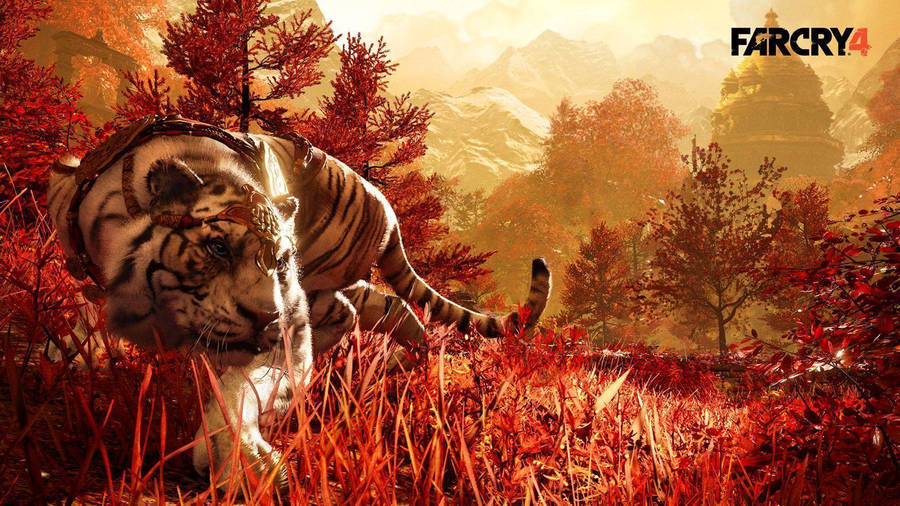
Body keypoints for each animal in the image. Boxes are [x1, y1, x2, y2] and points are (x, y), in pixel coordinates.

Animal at [47, 115, 551, 490]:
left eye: (280, 260)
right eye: (218, 248)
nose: (268, 315)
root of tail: (385, 206)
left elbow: (240, 390)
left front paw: (242, 463)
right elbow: (76, 328)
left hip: (323, 284)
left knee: (354, 315)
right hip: (333, 287)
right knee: (391, 308)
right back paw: (409, 365)